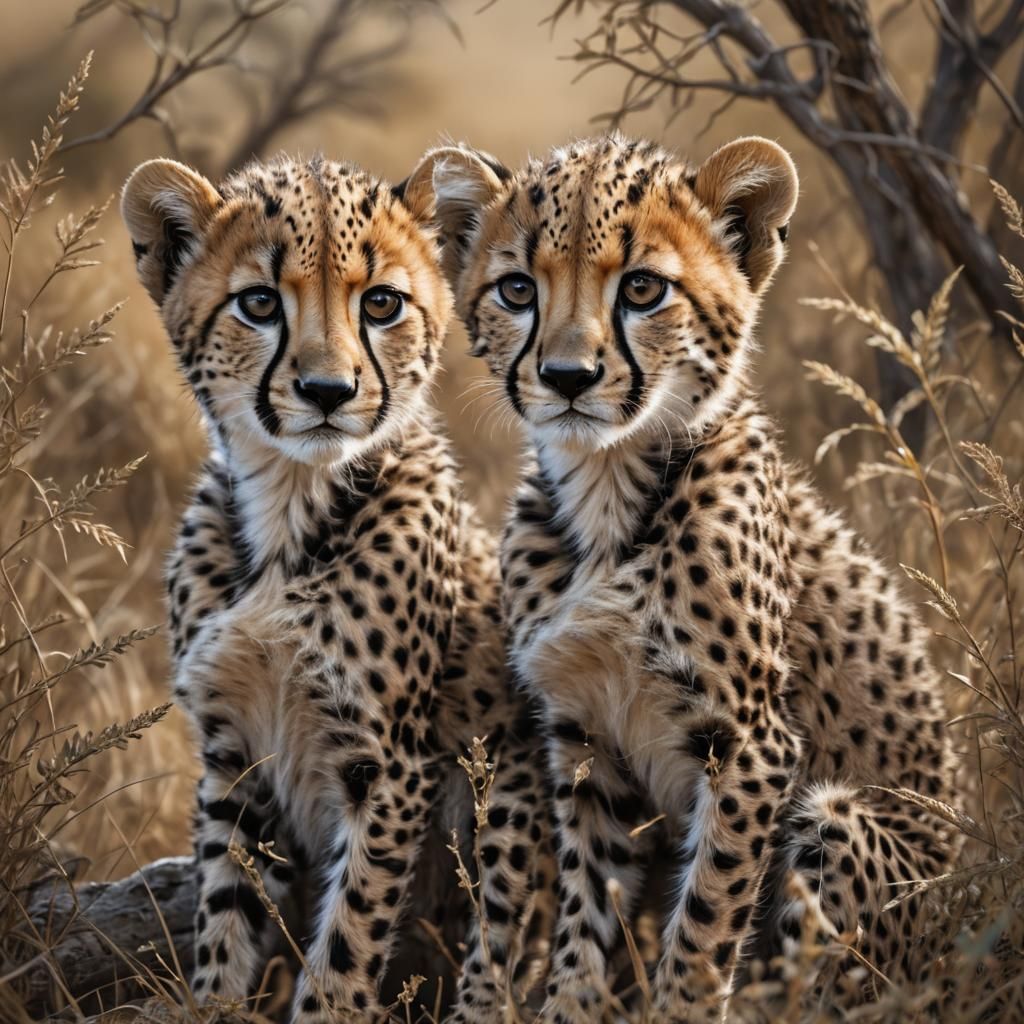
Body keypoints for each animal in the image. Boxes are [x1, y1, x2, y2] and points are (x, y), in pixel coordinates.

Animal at [120, 153, 548, 1024]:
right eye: (258, 303)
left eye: (381, 303)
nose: (327, 391)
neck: (292, 507)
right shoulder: (234, 756)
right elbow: (226, 916)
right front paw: (213, 1004)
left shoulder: (385, 766)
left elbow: (349, 937)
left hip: (516, 786)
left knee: (503, 950)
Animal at [401, 133, 961, 1022]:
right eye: (518, 289)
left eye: (642, 288)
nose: (567, 376)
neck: (606, 490)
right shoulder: (582, 733)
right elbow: (586, 912)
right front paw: (569, 1006)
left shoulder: (750, 742)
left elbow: (705, 920)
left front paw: (681, 1006)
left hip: (841, 822)